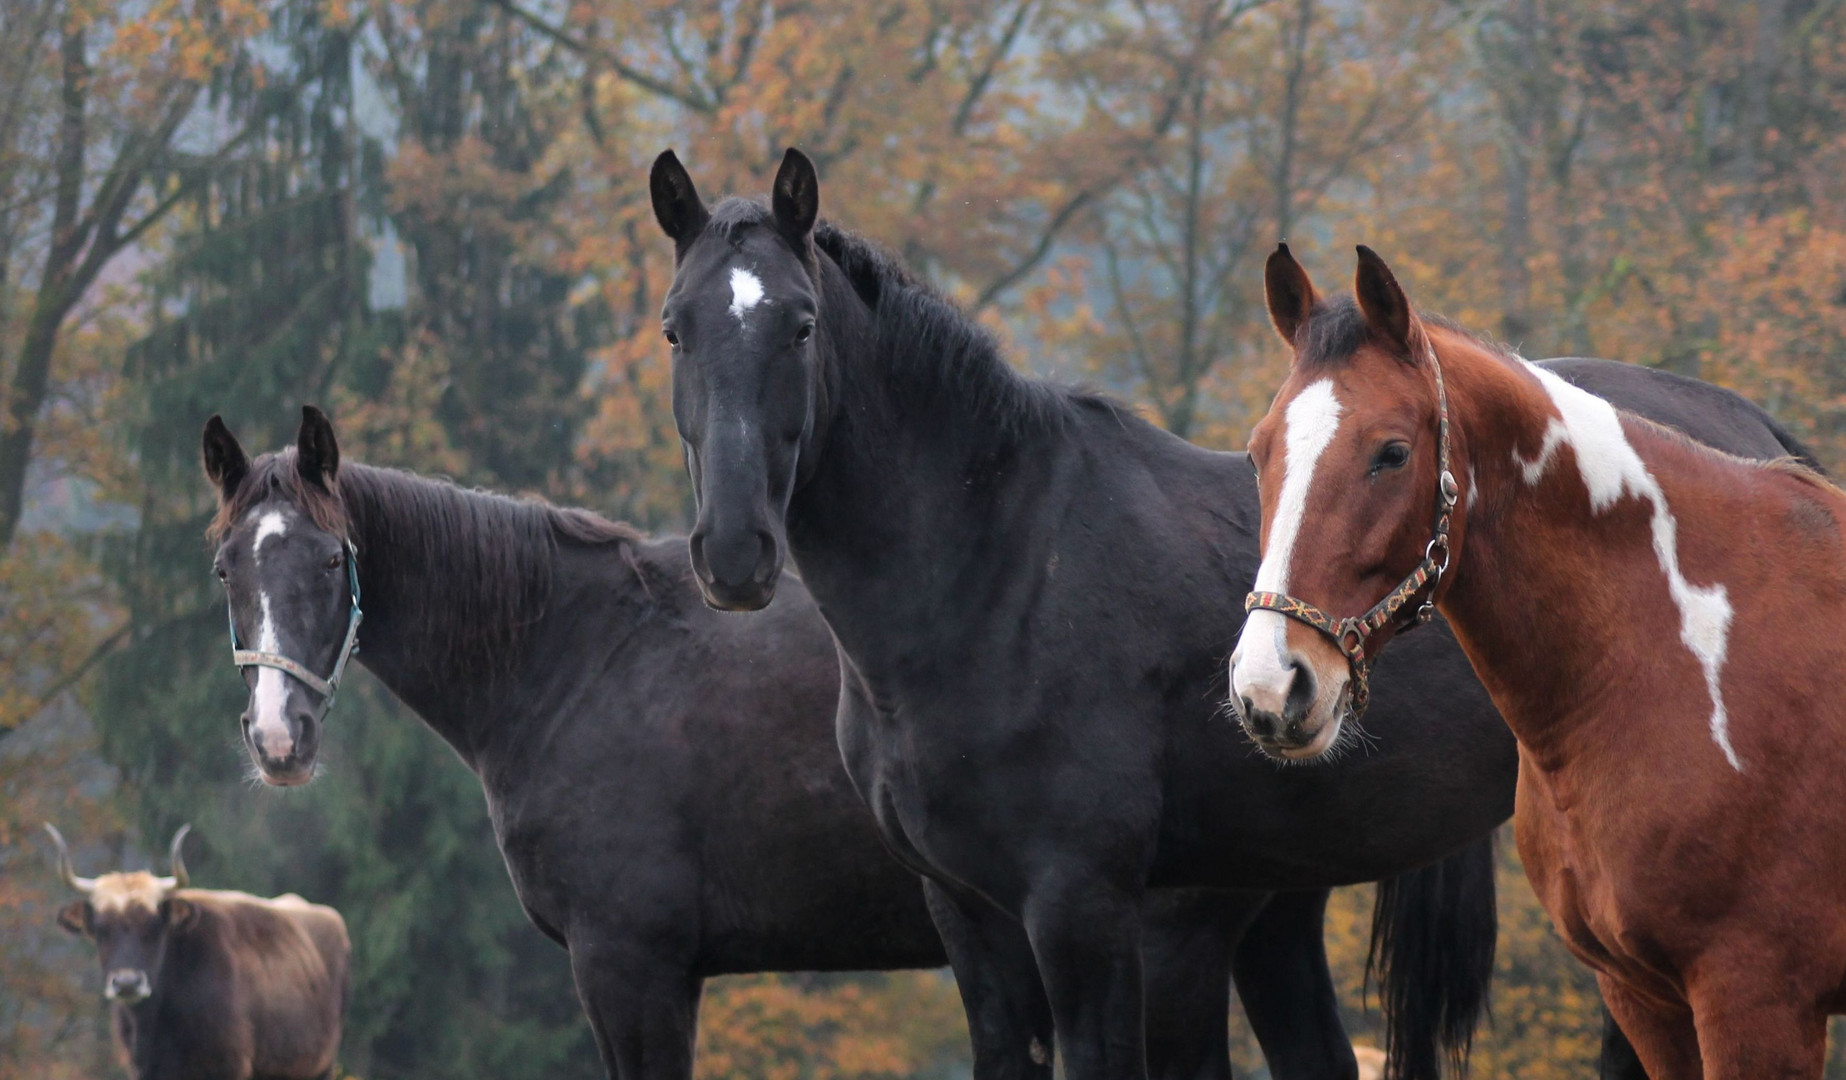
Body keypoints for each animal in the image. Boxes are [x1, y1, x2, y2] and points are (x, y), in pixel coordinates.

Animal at [194, 409, 1484, 1078]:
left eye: (327, 561)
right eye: (226, 566)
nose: (275, 740)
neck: (573, 658)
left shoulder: (630, 964)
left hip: (1172, 944)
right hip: (1265, 927)